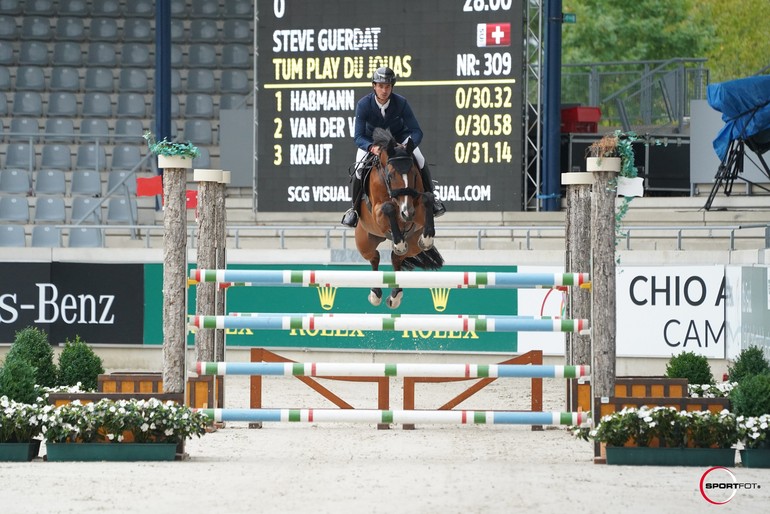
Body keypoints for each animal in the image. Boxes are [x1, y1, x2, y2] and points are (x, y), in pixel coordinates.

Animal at [354, 127, 444, 308]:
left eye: (414, 174)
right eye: (390, 176)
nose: (406, 213)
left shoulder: (417, 208)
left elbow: (427, 198)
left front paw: (427, 239)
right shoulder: (378, 213)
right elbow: (388, 208)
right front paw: (399, 242)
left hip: (413, 245)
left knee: (396, 259)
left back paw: (395, 296)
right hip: (364, 242)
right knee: (374, 257)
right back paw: (375, 294)